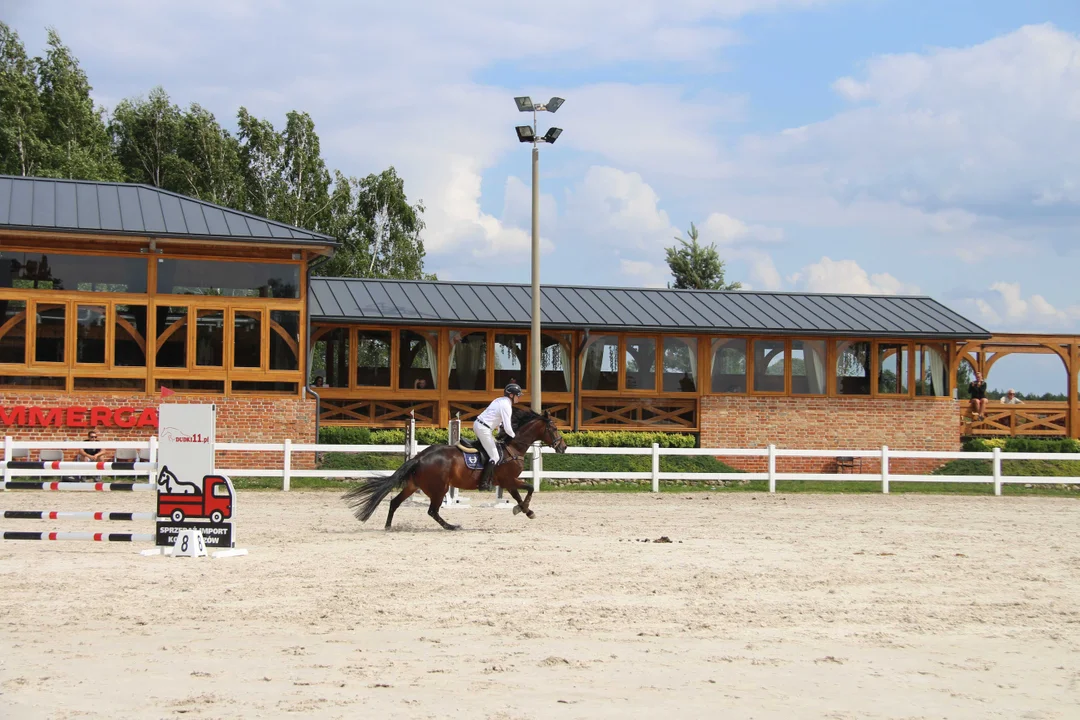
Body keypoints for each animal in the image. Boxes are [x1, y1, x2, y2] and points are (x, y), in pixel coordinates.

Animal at [341, 408, 570, 533]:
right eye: (554, 428)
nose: (563, 447)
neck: (513, 448)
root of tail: (419, 457)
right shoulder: (509, 480)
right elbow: (529, 488)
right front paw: (525, 510)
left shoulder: (507, 483)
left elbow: (519, 496)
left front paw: (523, 510)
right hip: (439, 488)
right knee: (432, 511)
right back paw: (451, 526)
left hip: (414, 485)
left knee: (395, 502)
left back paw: (388, 527)